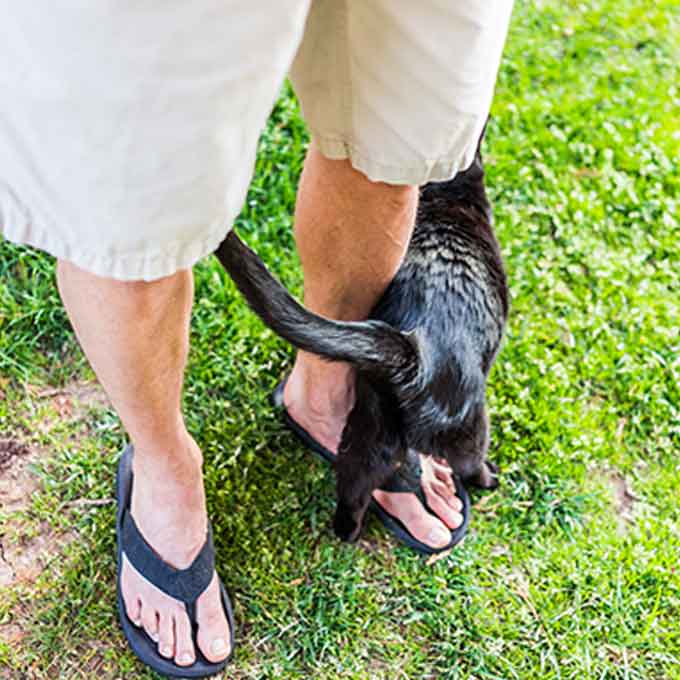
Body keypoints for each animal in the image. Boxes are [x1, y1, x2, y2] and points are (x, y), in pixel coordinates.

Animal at [215, 133, 508, 544]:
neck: (443, 199)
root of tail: (413, 349)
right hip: (468, 426)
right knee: (468, 463)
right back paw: (485, 478)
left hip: (370, 429)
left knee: (353, 482)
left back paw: (347, 532)